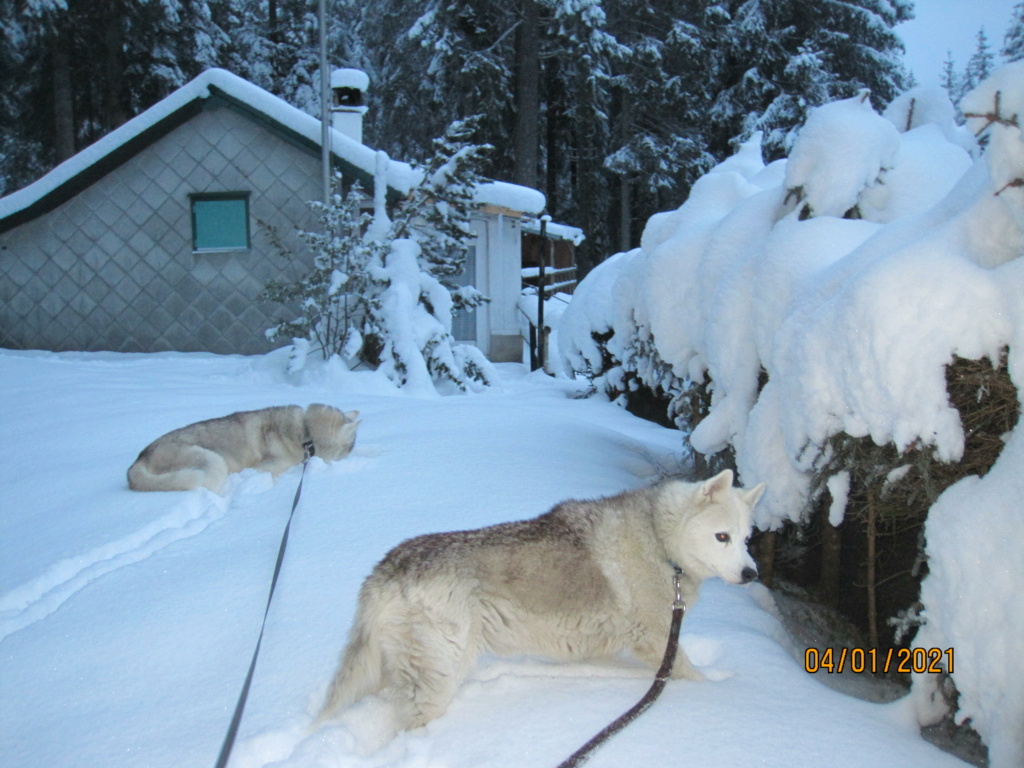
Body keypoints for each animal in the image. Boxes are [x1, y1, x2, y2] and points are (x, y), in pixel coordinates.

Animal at [126, 403, 360, 493]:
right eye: (349, 450)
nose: (350, 456)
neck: (305, 431)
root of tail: (139, 459)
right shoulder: (268, 466)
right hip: (212, 461)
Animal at [317, 468, 761, 741]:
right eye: (721, 537)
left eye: (745, 539)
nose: (752, 574)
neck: (660, 541)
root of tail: (389, 565)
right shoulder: (655, 641)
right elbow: (691, 675)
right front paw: (717, 690)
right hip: (438, 675)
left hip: (392, 667)